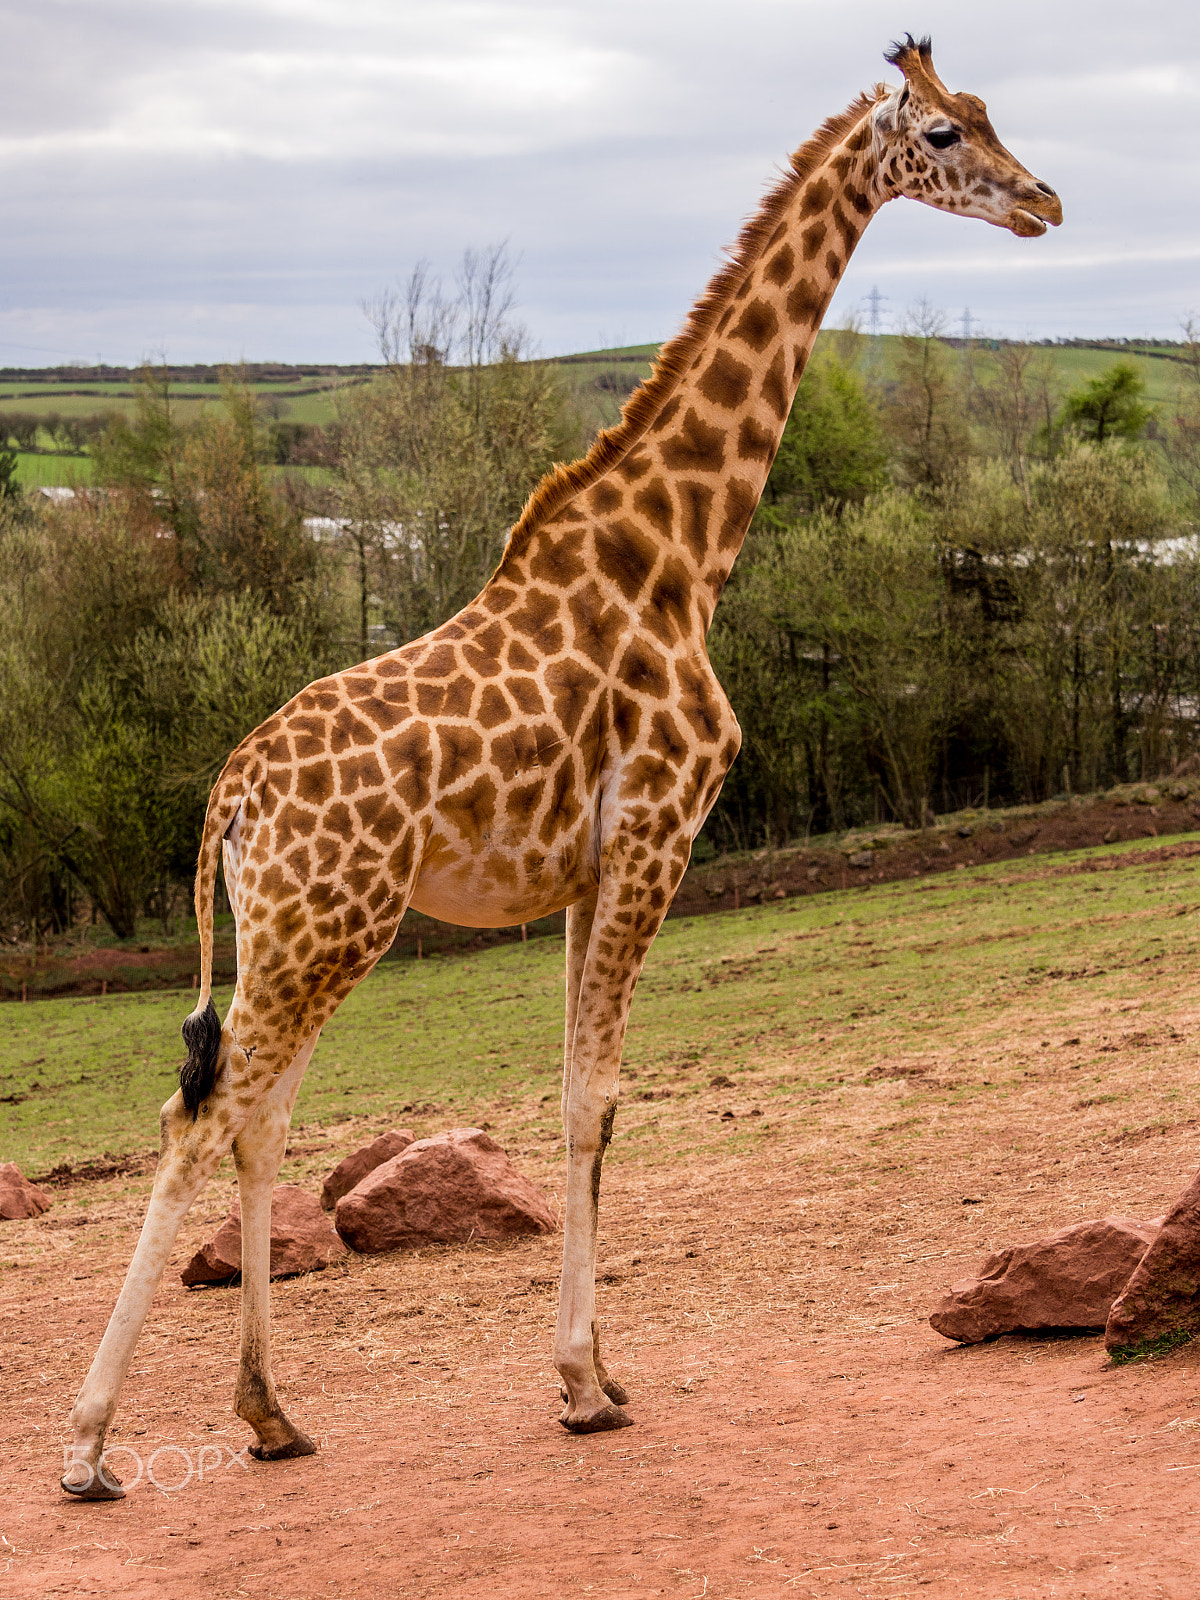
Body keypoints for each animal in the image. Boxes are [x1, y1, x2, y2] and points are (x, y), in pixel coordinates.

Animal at [63, 34, 1062, 1497]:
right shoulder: (657, 838)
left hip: (291, 934)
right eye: (941, 133)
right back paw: (87, 1446)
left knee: (255, 1120)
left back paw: (271, 1414)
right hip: (329, 928)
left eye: (990, 114)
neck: (683, 554)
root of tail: (226, 800)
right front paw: (587, 1385)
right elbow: (595, 1103)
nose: (1046, 202)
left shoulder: (595, 868)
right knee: (200, 1118)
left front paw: (592, 1372)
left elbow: (586, 1099)